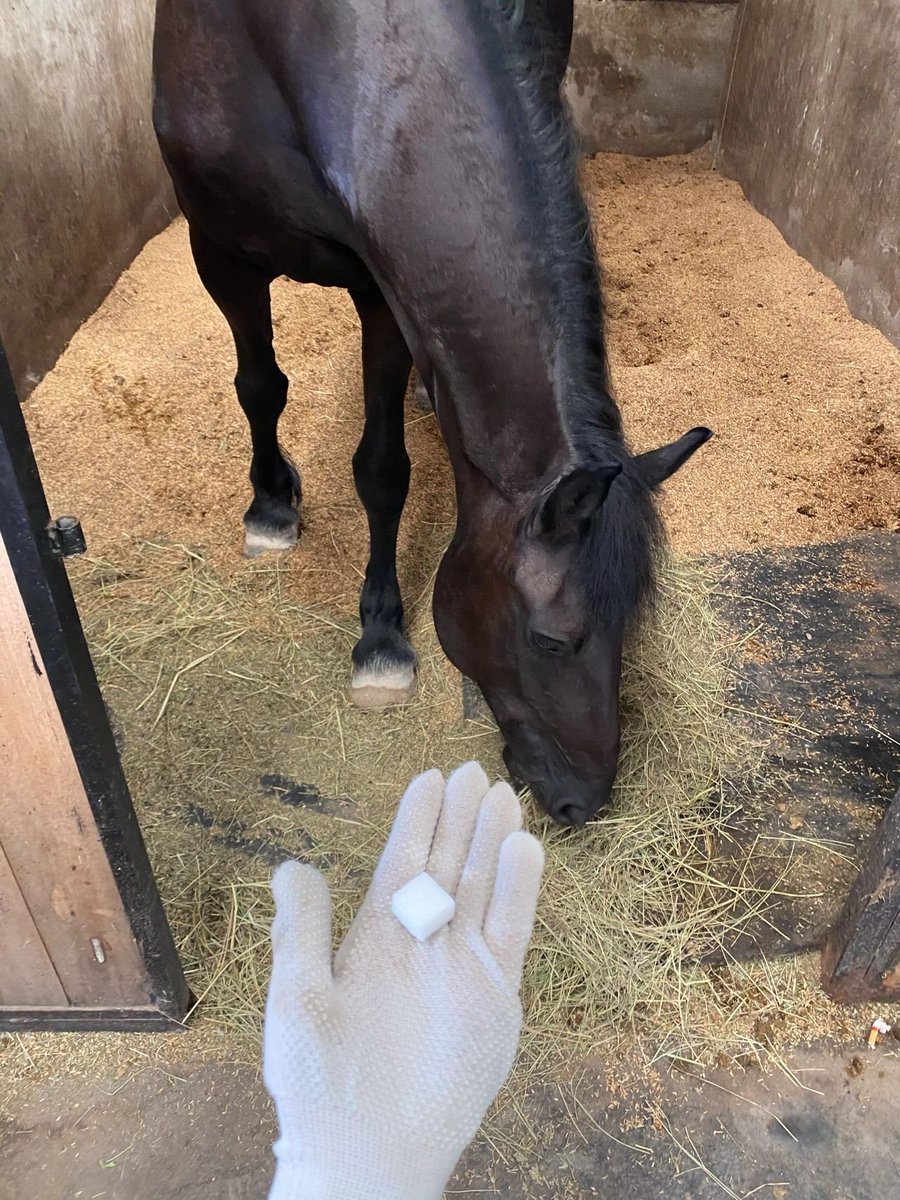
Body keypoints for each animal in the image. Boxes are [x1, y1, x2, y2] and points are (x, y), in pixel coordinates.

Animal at [153, 0, 710, 825]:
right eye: (552, 642)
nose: (583, 802)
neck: (313, 51)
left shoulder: (382, 287)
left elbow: (382, 469)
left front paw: (380, 633)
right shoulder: (218, 247)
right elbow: (260, 386)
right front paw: (273, 510)